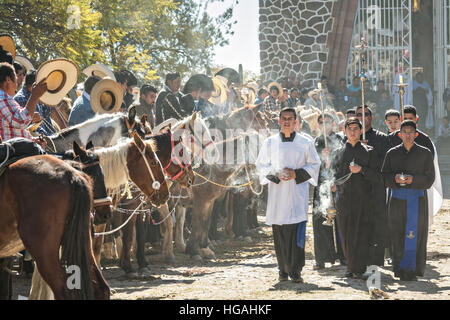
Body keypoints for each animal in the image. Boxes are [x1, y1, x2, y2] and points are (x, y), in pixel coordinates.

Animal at [0, 155, 109, 300]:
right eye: (95, 176)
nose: (106, 214)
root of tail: (71, 175)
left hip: (44, 252)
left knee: (63, 291)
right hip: (84, 244)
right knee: (101, 289)